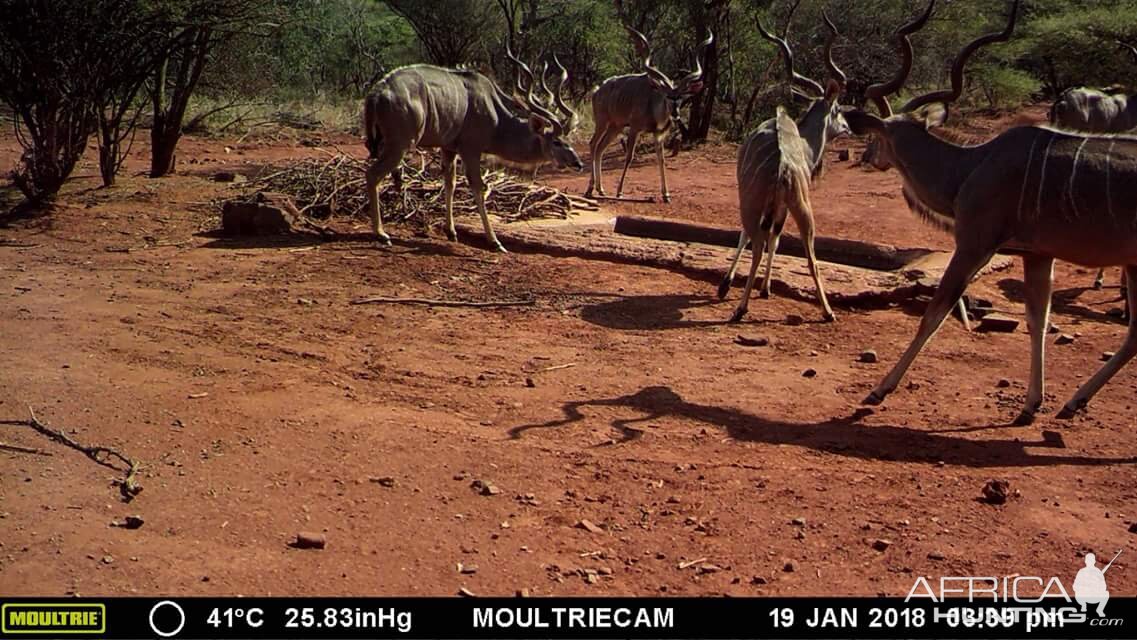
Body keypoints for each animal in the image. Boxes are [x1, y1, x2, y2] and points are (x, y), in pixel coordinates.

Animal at [366, 58, 582, 253]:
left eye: (569, 140)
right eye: (556, 142)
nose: (578, 164)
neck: (495, 117)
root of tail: (376, 93)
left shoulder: (449, 149)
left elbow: (450, 183)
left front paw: (451, 232)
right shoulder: (470, 150)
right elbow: (479, 187)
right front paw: (495, 242)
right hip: (400, 145)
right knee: (372, 174)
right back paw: (381, 234)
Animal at [586, 26, 709, 202]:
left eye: (680, 98)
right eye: (667, 97)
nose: (675, 115)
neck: (653, 105)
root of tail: (597, 91)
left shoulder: (658, 135)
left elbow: (661, 159)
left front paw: (666, 195)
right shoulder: (634, 129)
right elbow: (629, 156)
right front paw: (620, 192)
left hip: (615, 127)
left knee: (600, 148)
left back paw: (600, 189)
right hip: (602, 123)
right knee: (593, 144)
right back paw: (590, 189)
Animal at [718, 13, 845, 325]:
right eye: (838, 110)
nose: (848, 126)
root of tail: (783, 167)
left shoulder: (764, 207)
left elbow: (758, 239)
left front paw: (731, 286)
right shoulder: (782, 208)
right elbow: (774, 240)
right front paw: (762, 288)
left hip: (758, 206)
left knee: (758, 242)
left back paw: (741, 308)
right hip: (801, 209)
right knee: (809, 255)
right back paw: (827, 312)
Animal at [850, 1, 1137, 425]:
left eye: (876, 137)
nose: (871, 159)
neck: (971, 166)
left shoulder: (974, 245)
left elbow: (934, 312)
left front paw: (880, 389)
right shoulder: (1038, 255)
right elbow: (1038, 320)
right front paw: (1030, 406)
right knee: (1134, 332)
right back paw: (1072, 403)